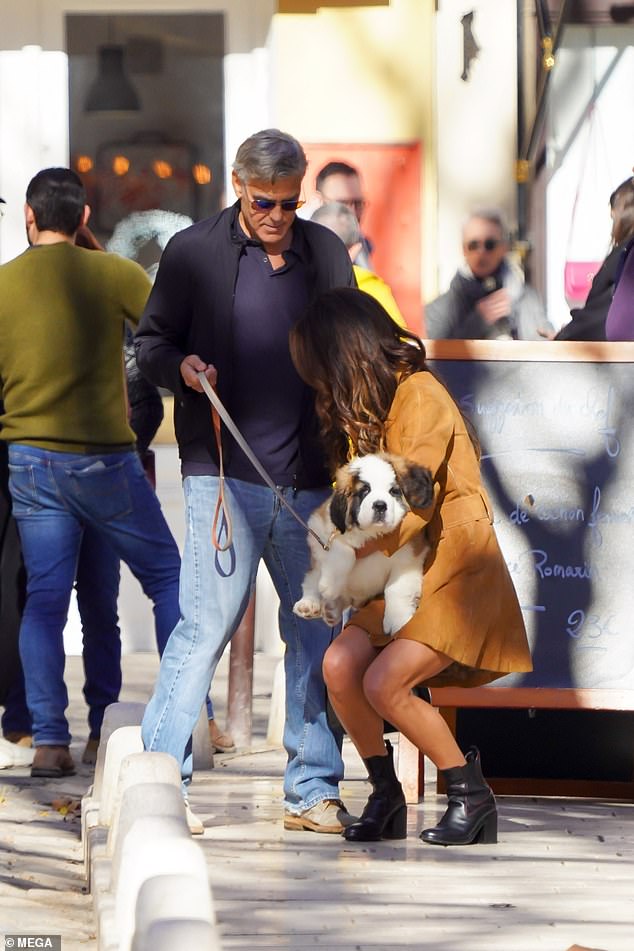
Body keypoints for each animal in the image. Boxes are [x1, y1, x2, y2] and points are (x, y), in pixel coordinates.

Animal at [292, 456, 432, 636]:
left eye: (394, 491)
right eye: (364, 491)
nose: (380, 505)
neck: (374, 535)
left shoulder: (410, 557)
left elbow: (397, 588)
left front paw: (397, 620)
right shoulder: (320, 528)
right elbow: (344, 550)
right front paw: (329, 585)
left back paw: (331, 610)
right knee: (311, 577)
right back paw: (310, 604)